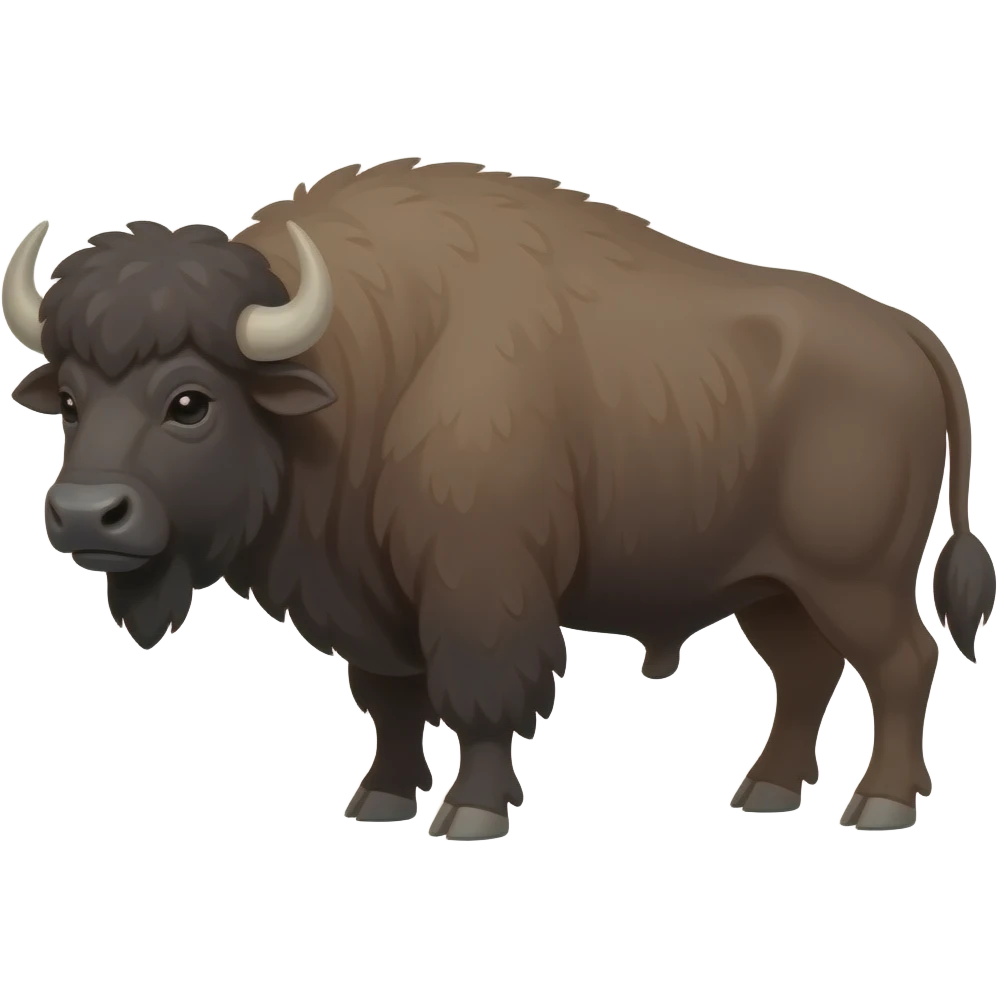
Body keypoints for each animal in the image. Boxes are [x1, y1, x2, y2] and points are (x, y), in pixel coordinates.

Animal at [5, 158, 994, 838]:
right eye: (72, 401)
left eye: (190, 401)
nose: (86, 514)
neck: (364, 362)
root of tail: (911, 334)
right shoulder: (370, 602)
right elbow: (391, 701)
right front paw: (378, 800)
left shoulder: (476, 586)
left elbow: (480, 692)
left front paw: (470, 815)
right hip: (773, 589)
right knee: (805, 673)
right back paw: (766, 792)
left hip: (853, 580)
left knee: (902, 664)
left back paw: (879, 805)